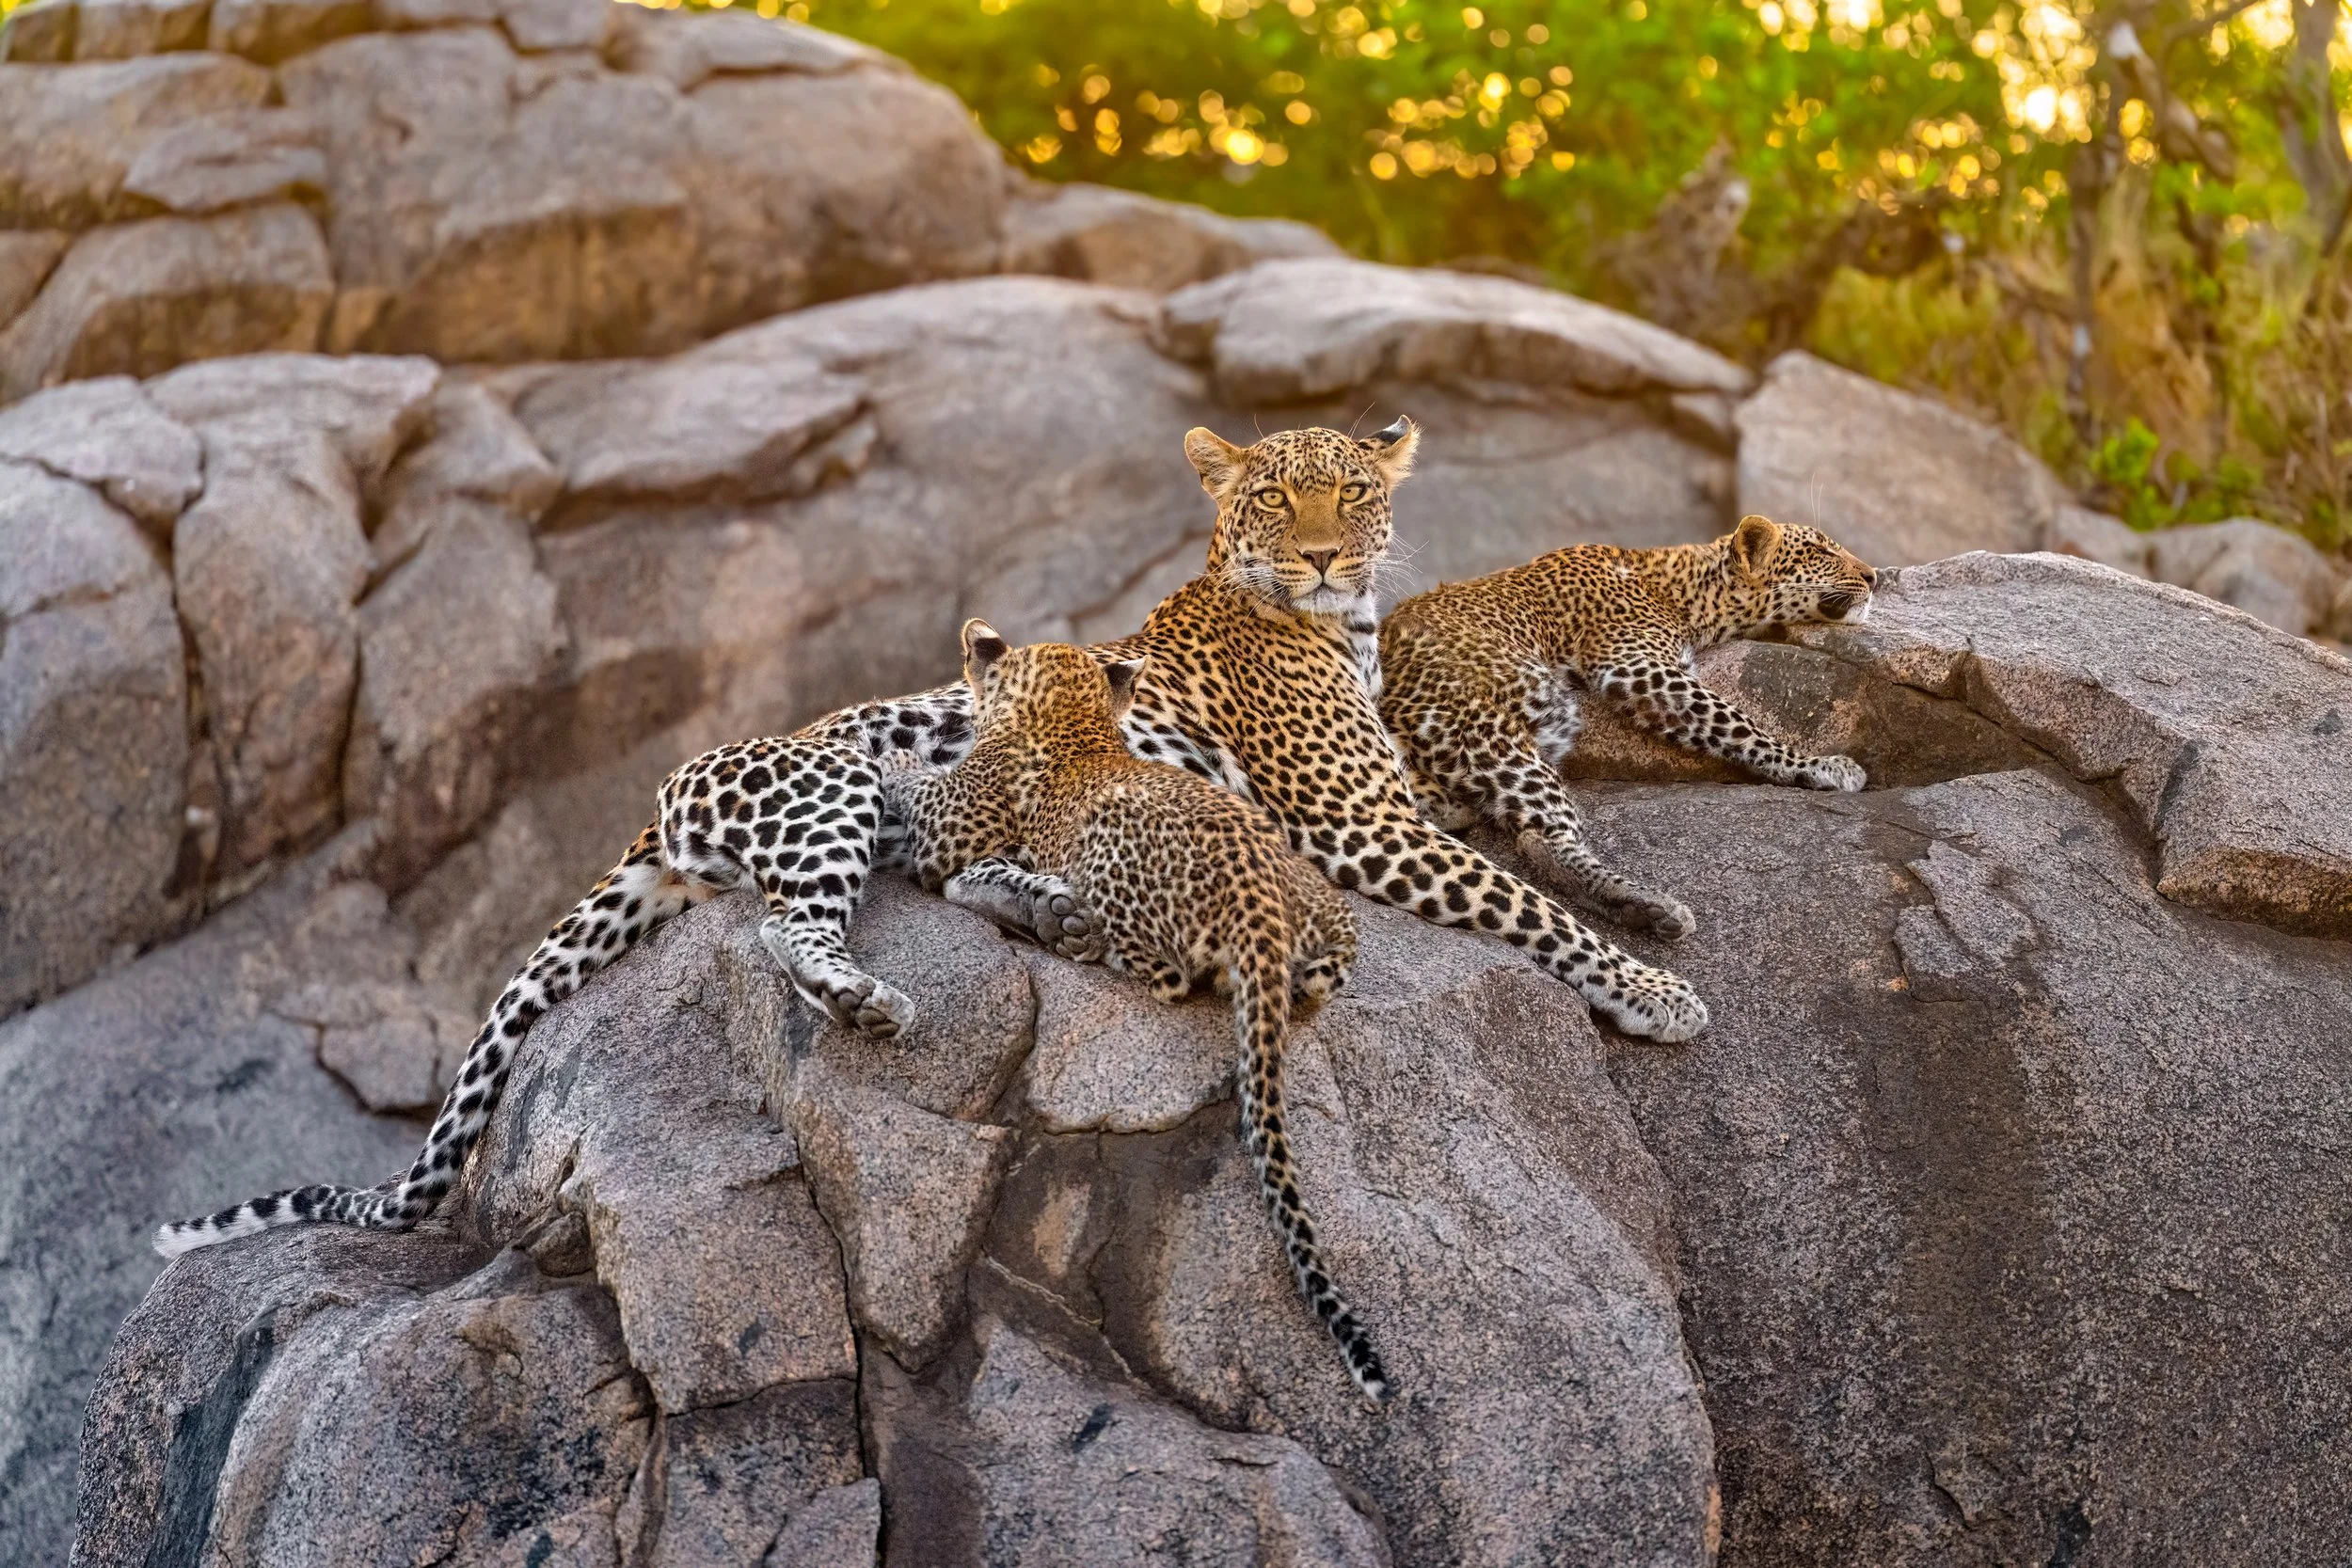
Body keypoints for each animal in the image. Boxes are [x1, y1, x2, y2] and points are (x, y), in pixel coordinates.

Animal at [883, 623, 1387, 1401]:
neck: (1074, 717)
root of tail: (1260, 902)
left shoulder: (952, 824)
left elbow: (924, 797)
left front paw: (899, 761)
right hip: (1326, 912)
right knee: (1328, 965)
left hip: (1119, 864)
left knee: (1171, 976)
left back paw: (1082, 934)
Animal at [1377, 513, 1878, 940]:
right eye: (1820, 551)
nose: (1874, 576)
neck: (1687, 593)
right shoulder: (1636, 666)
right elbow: (1732, 720)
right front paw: (1817, 766)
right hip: (1489, 730)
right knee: (1542, 839)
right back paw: (1648, 905)